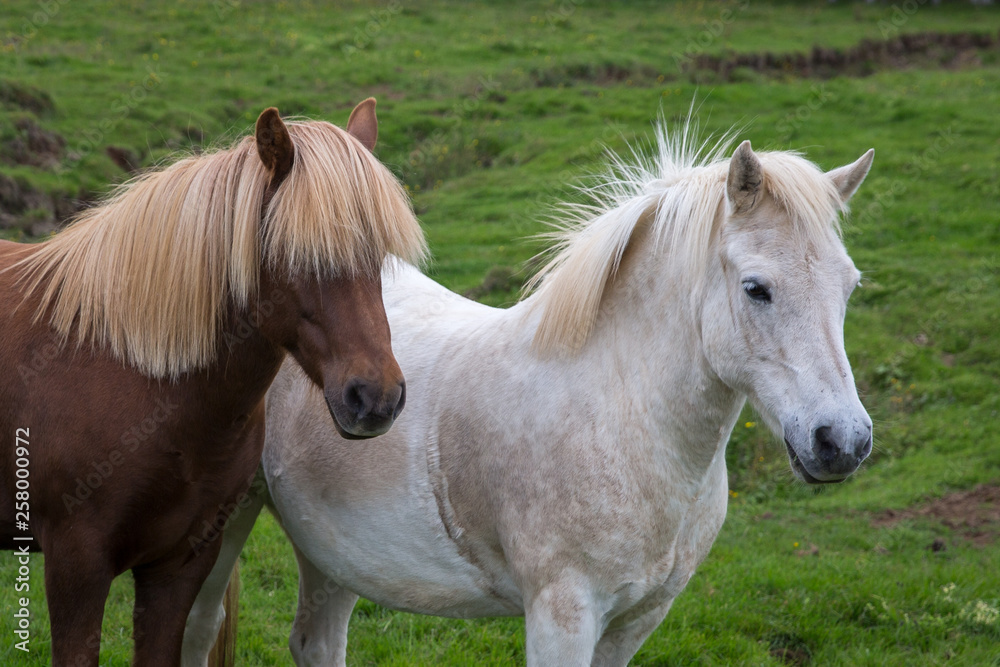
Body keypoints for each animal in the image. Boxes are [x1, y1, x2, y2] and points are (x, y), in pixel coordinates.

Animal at [184, 122, 872, 664]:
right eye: (757, 288)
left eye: (850, 285)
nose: (842, 441)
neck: (623, 421)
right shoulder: (562, 615)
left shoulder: (635, 622)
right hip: (225, 531)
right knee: (200, 630)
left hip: (332, 553)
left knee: (316, 642)